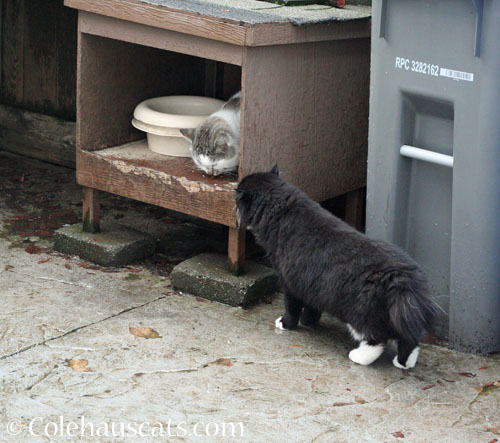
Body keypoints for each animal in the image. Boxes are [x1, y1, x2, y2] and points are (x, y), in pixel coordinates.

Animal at [236, 165, 436, 370]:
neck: (282, 211)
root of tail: (401, 279)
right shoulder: (311, 284)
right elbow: (312, 308)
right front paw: (308, 321)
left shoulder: (290, 282)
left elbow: (292, 307)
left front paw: (286, 324)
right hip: (395, 316)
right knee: (409, 340)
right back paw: (403, 363)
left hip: (361, 314)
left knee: (376, 339)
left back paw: (358, 357)